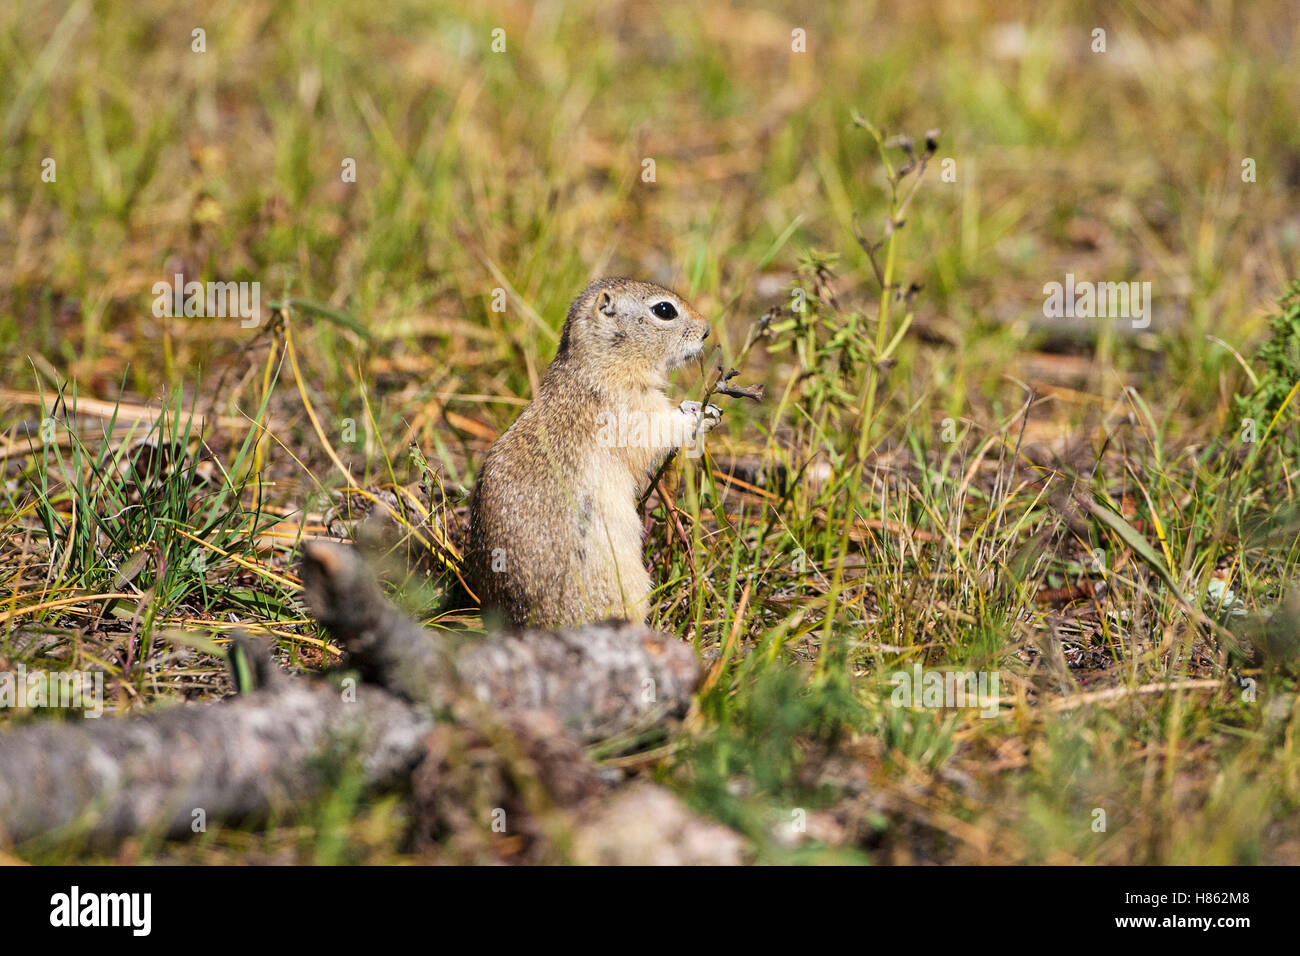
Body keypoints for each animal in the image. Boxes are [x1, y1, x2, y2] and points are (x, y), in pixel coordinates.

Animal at [467, 277, 728, 629]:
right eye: (664, 310)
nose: (706, 331)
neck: (599, 367)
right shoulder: (631, 413)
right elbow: (661, 429)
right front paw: (702, 414)